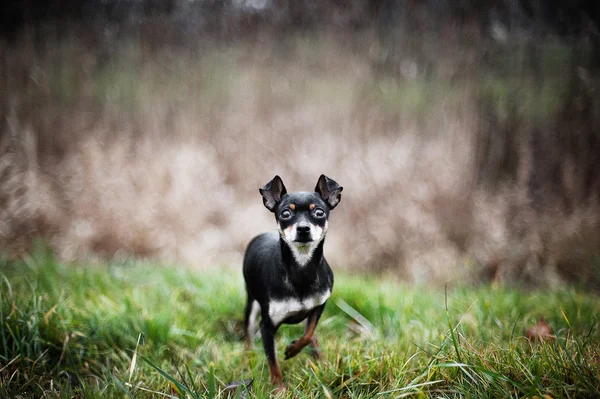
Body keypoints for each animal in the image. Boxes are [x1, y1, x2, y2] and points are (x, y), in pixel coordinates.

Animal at [240, 175, 342, 388]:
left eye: (319, 212)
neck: (301, 268)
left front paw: (293, 349)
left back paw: (318, 357)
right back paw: (248, 357)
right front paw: (278, 388)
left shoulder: (319, 305)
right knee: (248, 335)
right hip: (251, 305)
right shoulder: (266, 326)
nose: (303, 228)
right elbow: (272, 361)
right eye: (285, 213)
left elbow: (308, 333)